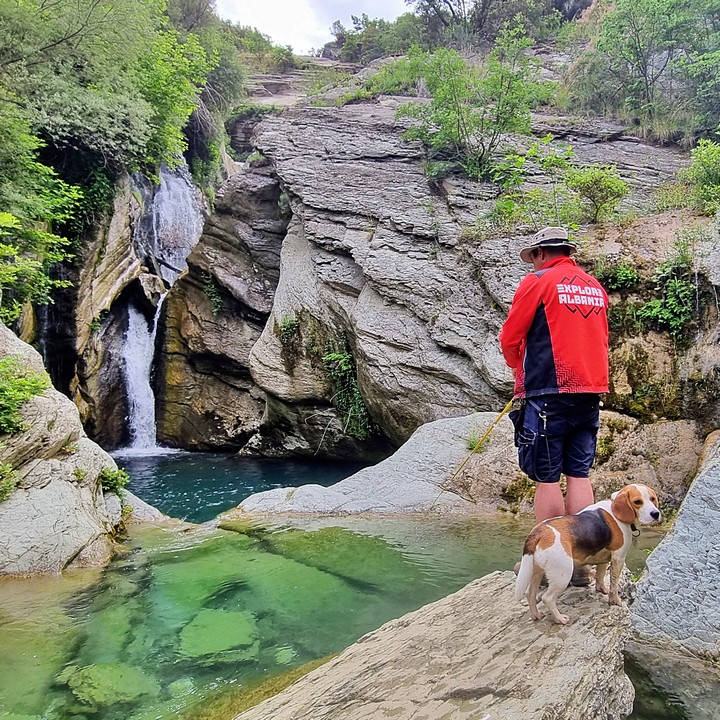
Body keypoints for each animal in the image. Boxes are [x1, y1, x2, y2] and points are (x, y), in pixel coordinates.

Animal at [515, 483, 661, 624]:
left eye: (652, 499)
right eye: (637, 502)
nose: (655, 513)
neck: (614, 509)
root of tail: (538, 532)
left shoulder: (603, 558)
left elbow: (600, 575)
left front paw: (601, 589)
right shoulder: (618, 559)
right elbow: (614, 585)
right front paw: (615, 601)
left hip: (536, 571)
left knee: (529, 593)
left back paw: (536, 615)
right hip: (562, 575)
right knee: (547, 598)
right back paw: (560, 619)